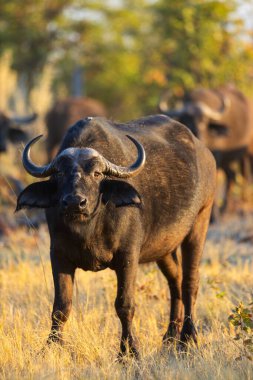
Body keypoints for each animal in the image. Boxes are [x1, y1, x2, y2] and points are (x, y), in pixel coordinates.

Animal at [17, 114, 215, 358]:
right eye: (60, 173)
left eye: (97, 173)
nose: (74, 202)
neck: (89, 228)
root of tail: (205, 153)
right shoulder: (59, 256)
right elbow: (61, 307)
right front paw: (50, 347)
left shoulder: (128, 257)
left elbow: (124, 305)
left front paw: (128, 351)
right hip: (164, 248)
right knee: (175, 281)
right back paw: (170, 337)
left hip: (200, 222)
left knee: (190, 282)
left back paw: (188, 338)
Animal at [159, 87, 252, 215]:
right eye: (187, 119)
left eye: (204, 120)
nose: (198, 133)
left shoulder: (217, 159)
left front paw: (214, 214)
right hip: (228, 160)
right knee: (232, 175)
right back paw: (225, 209)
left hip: (247, 153)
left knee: (245, 174)